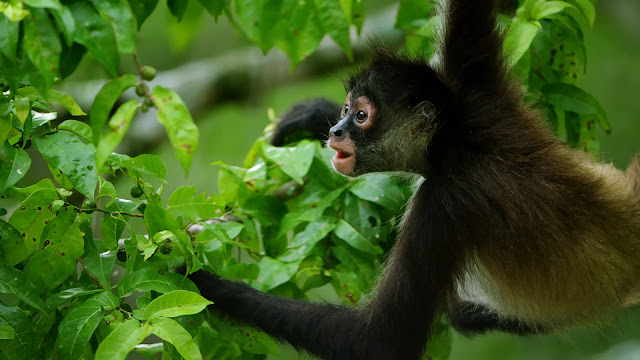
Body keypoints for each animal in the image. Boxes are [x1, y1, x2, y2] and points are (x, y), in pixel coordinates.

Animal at [185, 0, 640, 358]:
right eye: (347, 109)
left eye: (362, 116)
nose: (336, 130)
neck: (454, 143)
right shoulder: (476, 88)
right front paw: (313, 114)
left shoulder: (445, 202)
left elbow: (381, 342)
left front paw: (203, 284)